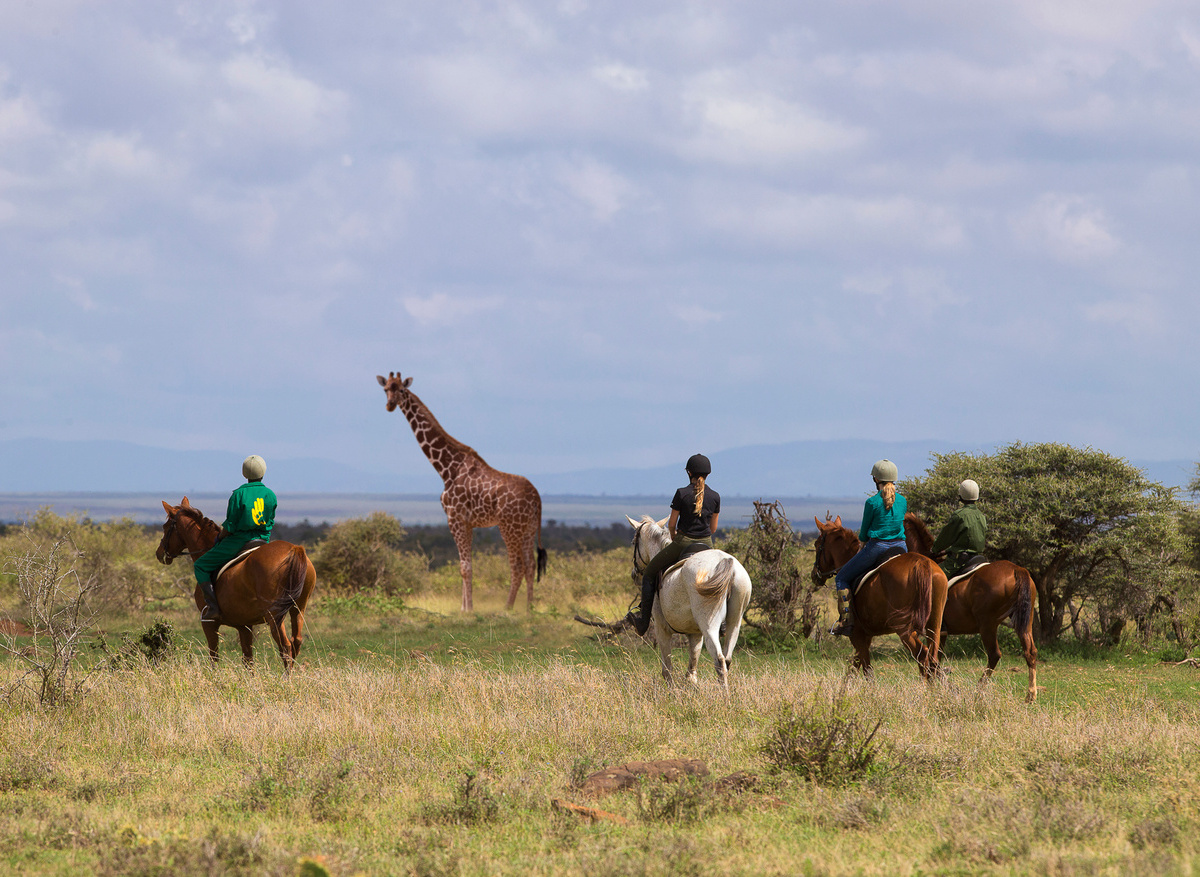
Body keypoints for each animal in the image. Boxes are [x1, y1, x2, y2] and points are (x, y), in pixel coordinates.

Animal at [156, 497, 316, 670]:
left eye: (165, 527)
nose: (159, 553)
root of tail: (295, 549)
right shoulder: (244, 626)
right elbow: (248, 660)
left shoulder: (209, 623)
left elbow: (214, 657)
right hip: (298, 608)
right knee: (296, 641)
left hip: (274, 616)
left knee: (286, 646)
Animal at [625, 515, 752, 688]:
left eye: (633, 542)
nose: (634, 574)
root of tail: (726, 562)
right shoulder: (695, 633)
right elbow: (692, 669)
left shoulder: (661, 628)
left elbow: (667, 669)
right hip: (735, 621)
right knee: (727, 659)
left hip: (709, 624)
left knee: (719, 660)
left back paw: (724, 694)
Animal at [811, 515, 948, 681]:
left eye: (817, 544)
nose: (814, 575)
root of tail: (922, 563)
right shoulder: (866, 636)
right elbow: (853, 668)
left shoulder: (858, 635)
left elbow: (866, 671)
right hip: (934, 624)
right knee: (933, 659)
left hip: (904, 629)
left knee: (922, 656)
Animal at [903, 513, 1039, 702]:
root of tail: (1016, 569)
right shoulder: (941, 633)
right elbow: (936, 659)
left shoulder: (933, 630)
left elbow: (932, 659)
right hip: (1024, 621)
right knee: (1030, 652)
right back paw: (1030, 695)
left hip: (987, 625)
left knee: (994, 654)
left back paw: (978, 690)